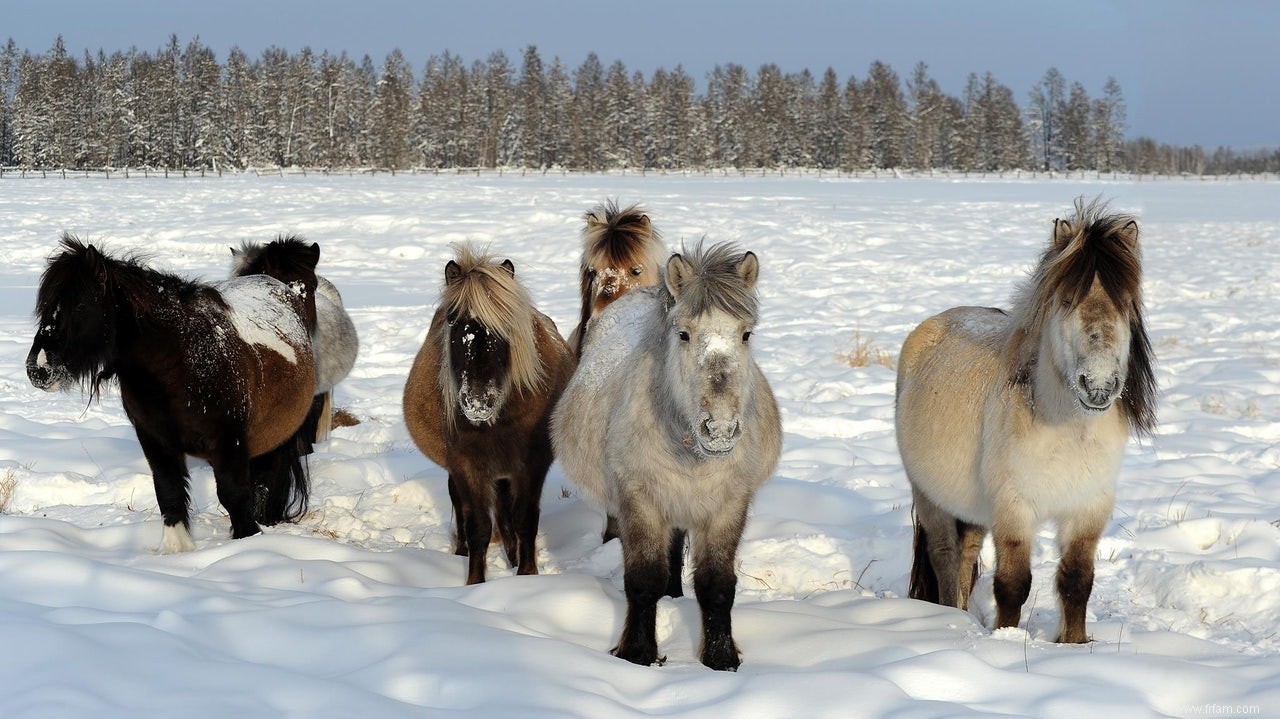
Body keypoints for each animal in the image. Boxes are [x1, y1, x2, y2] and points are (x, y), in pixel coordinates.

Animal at [26, 234, 316, 547]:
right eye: (45, 305)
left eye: (80, 305)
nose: (37, 369)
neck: (182, 363)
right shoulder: (155, 439)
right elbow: (169, 492)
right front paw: (177, 550)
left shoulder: (229, 441)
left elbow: (234, 495)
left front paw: (249, 542)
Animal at [404, 240, 576, 583]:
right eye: (452, 320)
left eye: (506, 325)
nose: (477, 401)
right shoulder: (466, 465)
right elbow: (478, 527)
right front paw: (475, 583)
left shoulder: (531, 464)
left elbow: (524, 520)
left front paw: (526, 573)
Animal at [555, 241, 783, 670]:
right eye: (684, 334)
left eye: (745, 334)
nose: (720, 429)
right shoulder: (640, 501)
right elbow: (643, 580)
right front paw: (637, 653)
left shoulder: (728, 505)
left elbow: (717, 584)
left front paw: (721, 658)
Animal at [896, 197, 1157, 644]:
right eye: (1066, 300)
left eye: (1126, 304)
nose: (1099, 385)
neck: (1067, 432)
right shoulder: (1014, 507)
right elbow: (1013, 584)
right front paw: (1006, 638)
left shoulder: (1088, 508)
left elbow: (1077, 581)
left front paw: (1074, 643)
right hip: (929, 494)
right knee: (944, 553)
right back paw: (951, 617)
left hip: (973, 507)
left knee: (966, 552)